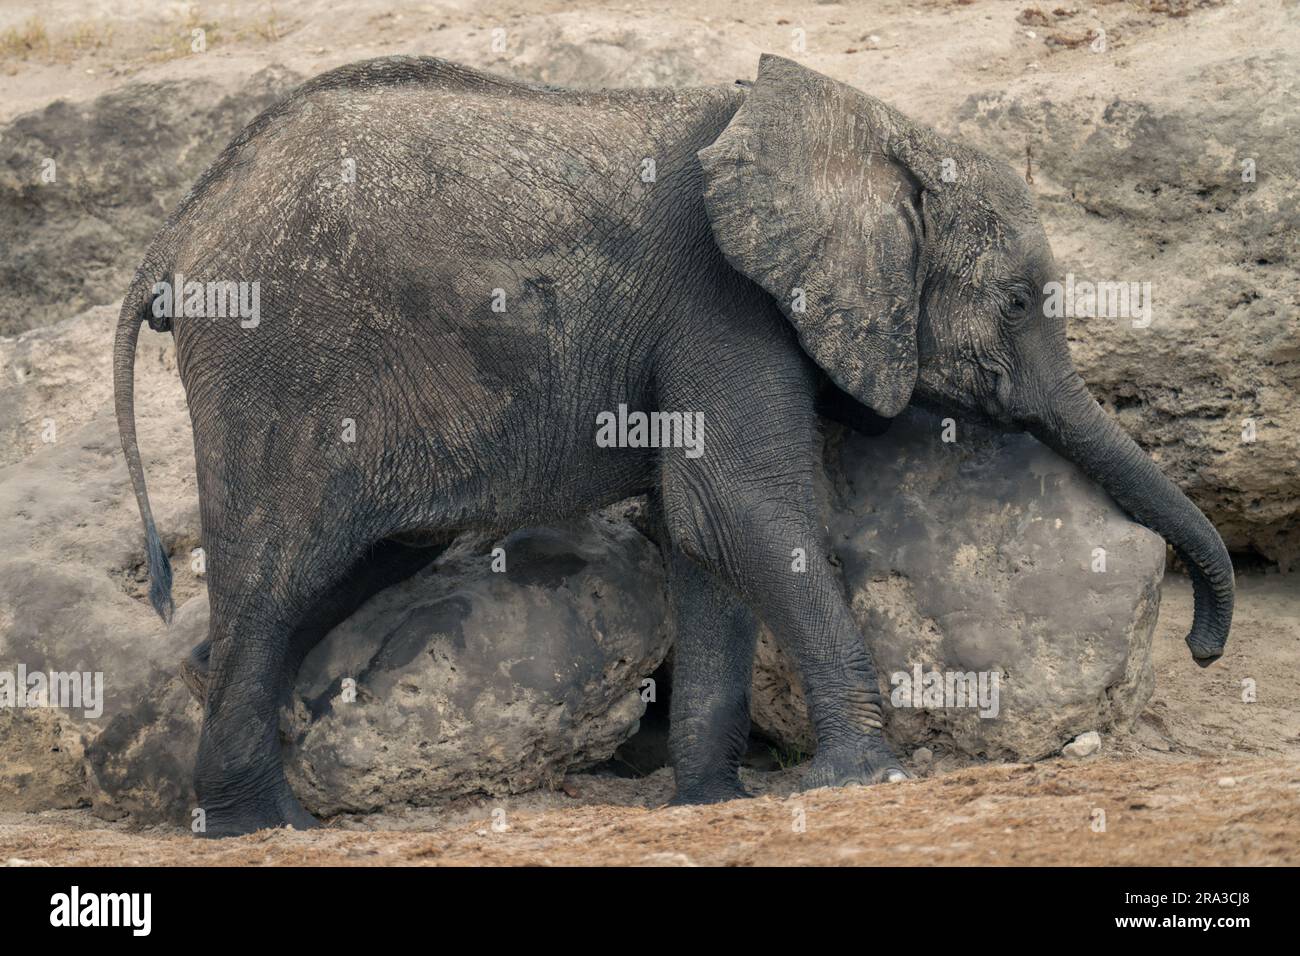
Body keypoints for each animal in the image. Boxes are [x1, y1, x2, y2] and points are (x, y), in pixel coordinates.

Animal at [113, 53, 1234, 837]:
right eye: (1015, 302)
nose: (1200, 646)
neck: (857, 128)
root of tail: (175, 233)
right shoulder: (720, 299)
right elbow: (738, 507)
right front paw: (867, 775)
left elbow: (704, 534)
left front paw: (708, 799)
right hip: (276, 360)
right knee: (279, 570)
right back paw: (262, 825)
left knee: (337, 570)